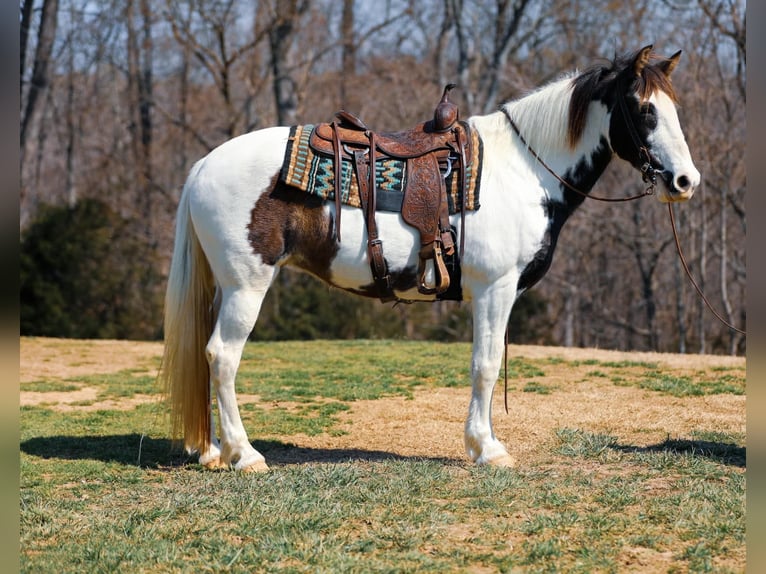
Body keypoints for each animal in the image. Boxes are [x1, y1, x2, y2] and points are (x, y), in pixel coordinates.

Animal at [160, 45, 700, 472]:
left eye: (674, 108)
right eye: (643, 110)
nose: (685, 181)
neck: (525, 171)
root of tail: (204, 164)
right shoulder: (495, 289)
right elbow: (485, 365)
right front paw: (487, 449)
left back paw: (212, 450)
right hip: (246, 286)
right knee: (222, 357)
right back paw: (245, 455)